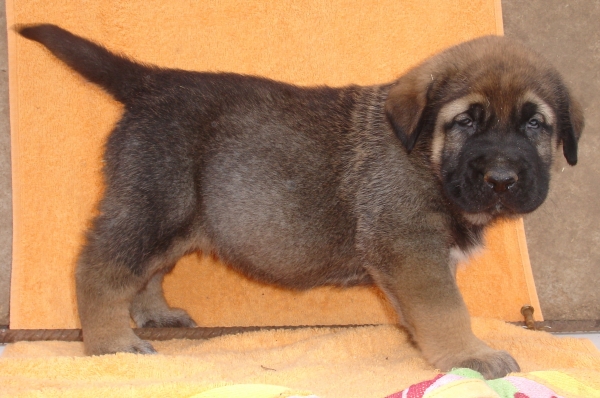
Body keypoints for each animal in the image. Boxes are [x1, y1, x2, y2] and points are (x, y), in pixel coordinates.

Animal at [17, 24, 580, 380]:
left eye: (535, 124)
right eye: (466, 121)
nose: (502, 179)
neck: (425, 154)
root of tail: (153, 83)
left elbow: (425, 314)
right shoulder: (411, 249)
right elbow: (448, 311)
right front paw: (470, 356)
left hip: (176, 215)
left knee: (148, 269)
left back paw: (153, 312)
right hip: (154, 204)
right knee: (100, 268)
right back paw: (111, 344)